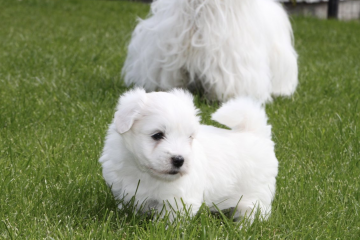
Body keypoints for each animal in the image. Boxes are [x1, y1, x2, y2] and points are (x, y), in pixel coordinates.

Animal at [100, 88, 280, 223]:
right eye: (157, 135)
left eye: (189, 137)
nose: (179, 160)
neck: (144, 173)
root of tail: (255, 133)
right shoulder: (126, 191)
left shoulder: (179, 201)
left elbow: (170, 221)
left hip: (254, 195)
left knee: (254, 212)